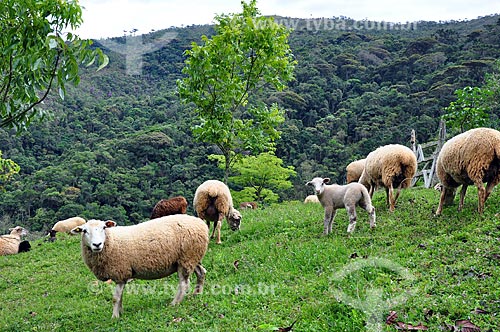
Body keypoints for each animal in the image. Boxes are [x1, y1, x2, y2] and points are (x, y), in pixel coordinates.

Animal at [71, 215, 209, 320]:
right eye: (84, 231)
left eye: (104, 228)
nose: (97, 244)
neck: (111, 242)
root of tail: (200, 223)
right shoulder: (123, 275)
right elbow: (121, 297)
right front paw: (121, 312)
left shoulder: (120, 272)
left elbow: (115, 298)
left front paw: (114, 317)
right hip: (193, 257)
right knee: (201, 272)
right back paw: (197, 294)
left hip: (186, 258)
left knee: (184, 283)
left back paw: (174, 303)